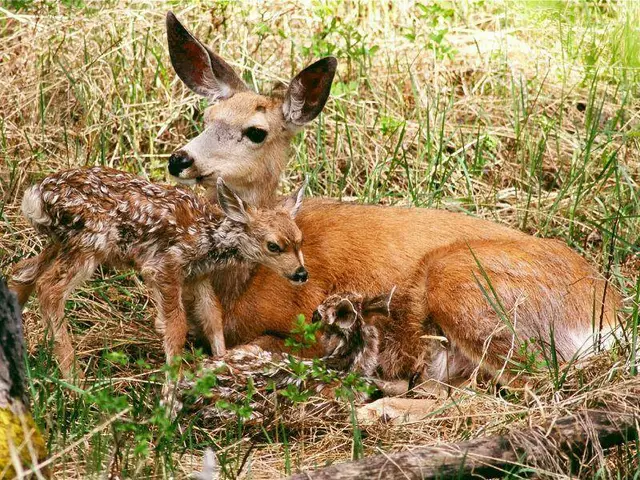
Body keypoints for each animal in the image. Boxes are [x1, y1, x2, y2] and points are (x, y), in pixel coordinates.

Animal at [9, 166, 307, 378]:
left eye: (299, 240)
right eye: (273, 246)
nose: (301, 274)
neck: (208, 236)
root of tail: (36, 197)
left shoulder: (197, 276)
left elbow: (213, 317)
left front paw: (221, 361)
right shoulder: (164, 265)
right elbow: (175, 326)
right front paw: (171, 391)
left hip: (62, 242)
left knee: (22, 272)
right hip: (89, 241)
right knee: (48, 288)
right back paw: (75, 380)